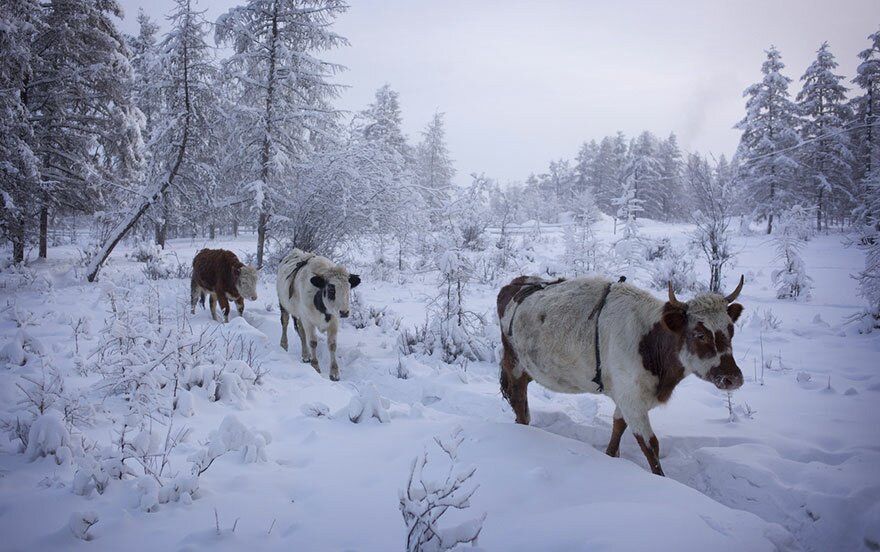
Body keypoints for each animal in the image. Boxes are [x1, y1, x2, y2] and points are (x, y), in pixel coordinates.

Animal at [274, 249, 360, 382]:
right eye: (331, 289)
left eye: (348, 288)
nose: (344, 312)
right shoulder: (308, 321)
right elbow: (313, 342)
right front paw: (315, 366)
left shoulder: (334, 322)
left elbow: (332, 345)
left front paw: (334, 373)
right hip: (283, 304)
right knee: (285, 322)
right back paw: (284, 345)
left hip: (300, 314)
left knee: (301, 331)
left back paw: (305, 355)